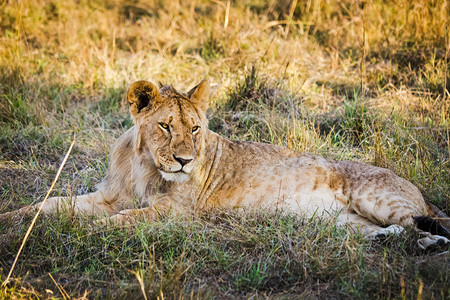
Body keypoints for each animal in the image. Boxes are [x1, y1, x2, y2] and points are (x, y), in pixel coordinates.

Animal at [0, 79, 450, 248]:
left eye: (196, 129)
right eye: (165, 126)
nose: (184, 161)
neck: (145, 166)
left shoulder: (175, 213)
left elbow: (118, 222)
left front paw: (83, 232)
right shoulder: (108, 196)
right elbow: (50, 205)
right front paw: (14, 220)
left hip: (377, 197)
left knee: (421, 225)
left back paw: (430, 243)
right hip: (341, 222)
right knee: (386, 232)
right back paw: (392, 241)